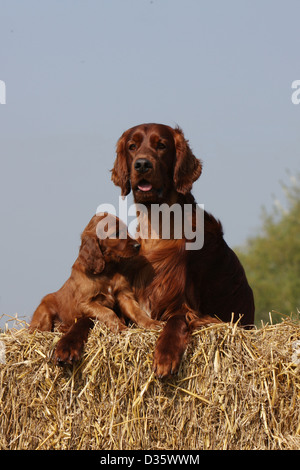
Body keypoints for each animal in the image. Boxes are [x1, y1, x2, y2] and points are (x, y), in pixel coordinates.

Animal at [30, 213, 159, 364]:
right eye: (116, 233)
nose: (138, 245)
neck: (107, 271)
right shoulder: (85, 303)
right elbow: (108, 312)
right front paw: (121, 328)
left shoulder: (124, 295)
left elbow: (138, 312)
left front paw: (153, 324)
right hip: (44, 313)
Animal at [111, 122, 254, 378]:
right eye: (132, 146)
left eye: (161, 145)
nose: (142, 164)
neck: (158, 224)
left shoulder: (188, 306)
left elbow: (176, 320)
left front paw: (165, 356)